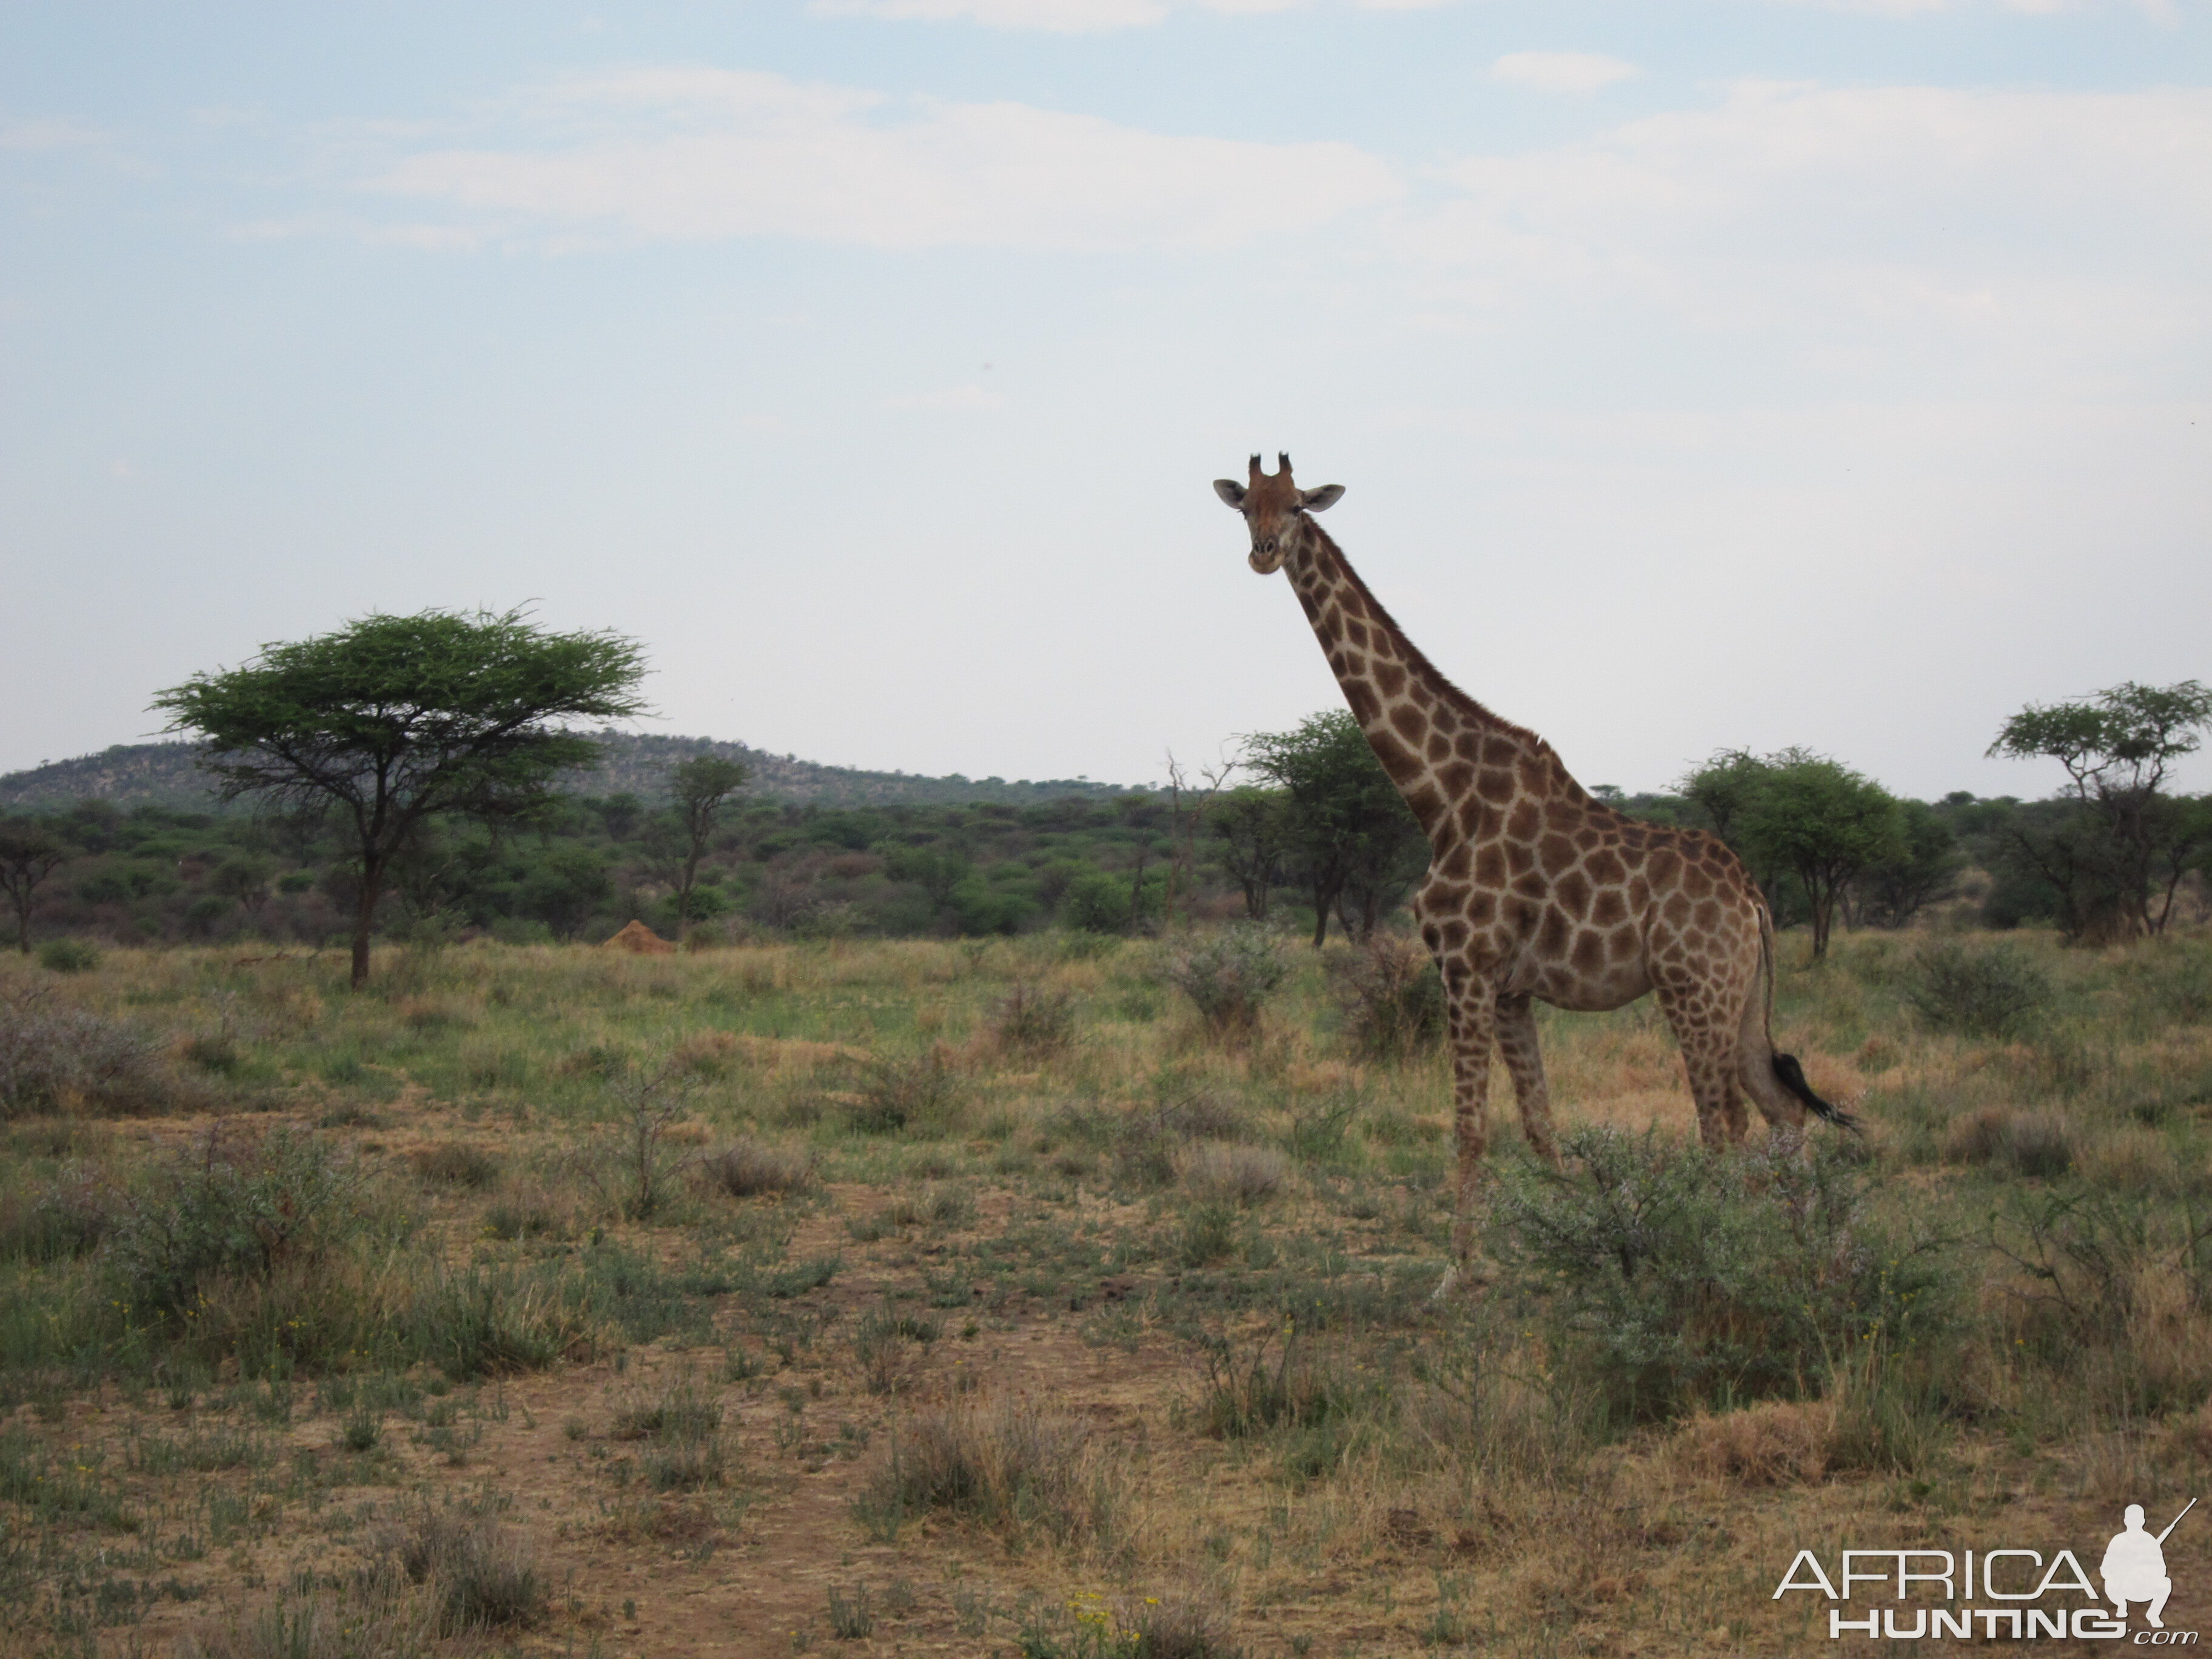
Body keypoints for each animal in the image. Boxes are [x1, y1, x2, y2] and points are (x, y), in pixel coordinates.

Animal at [1221, 458, 1858, 1301]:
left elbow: (1469, 1126)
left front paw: (1453, 1277)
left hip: (1693, 991)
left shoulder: (1464, 966)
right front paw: (1578, 1252)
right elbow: (1540, 1124)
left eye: (1296, 506)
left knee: (1725, 1123)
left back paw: (1726, 1263)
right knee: (1782, 1110)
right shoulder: (1512, 987)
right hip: (1743, 999)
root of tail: (1752, 898)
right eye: (1244, 508)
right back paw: (1804, 1262)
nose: (1263, 553)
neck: (1439, 795)